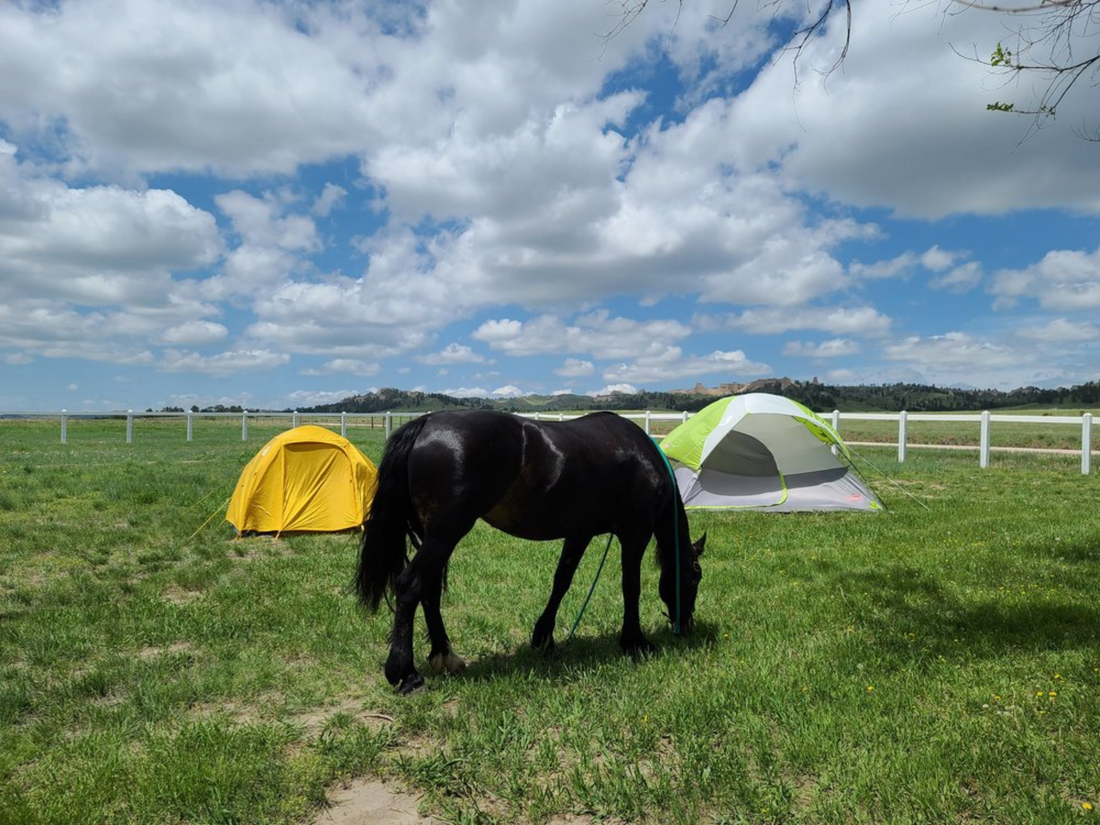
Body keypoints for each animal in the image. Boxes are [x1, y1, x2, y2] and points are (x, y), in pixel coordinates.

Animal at [355, 409, 706, 694]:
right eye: (695, 579)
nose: (687, 626)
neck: (639, 454)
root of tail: (427, 423)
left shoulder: (579, 534)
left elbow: (561, 581)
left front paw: (543, 637)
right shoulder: (636, 532)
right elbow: (631, 587)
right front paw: (635, 642)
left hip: (434, 537)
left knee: (428, 590)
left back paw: (445, 656)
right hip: (445, 534)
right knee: (409, 586)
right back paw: (406, 674)